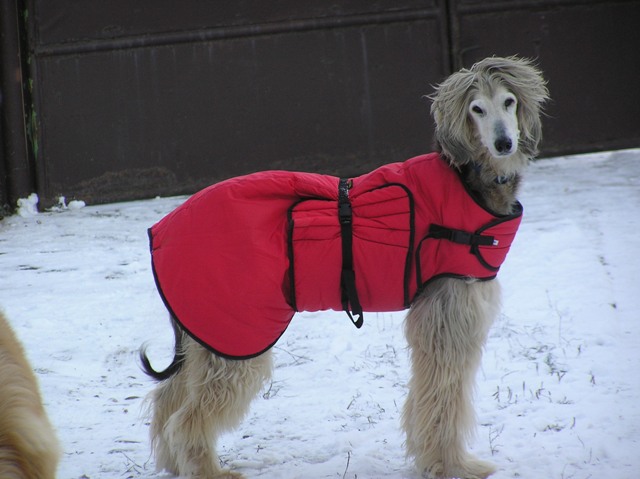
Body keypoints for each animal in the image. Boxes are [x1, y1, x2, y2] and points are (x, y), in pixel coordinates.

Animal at [141, 57, 552, 479]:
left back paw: (174, 463)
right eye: (476, 109)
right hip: (236, 333)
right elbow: (443, 396)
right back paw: (205, 469)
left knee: (168, 400)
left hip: (205, 331)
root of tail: (162, 229)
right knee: (186, 419)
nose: (504, 144)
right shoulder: (447, 315)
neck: (467, 180)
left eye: (508, 102)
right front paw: (449, 464)